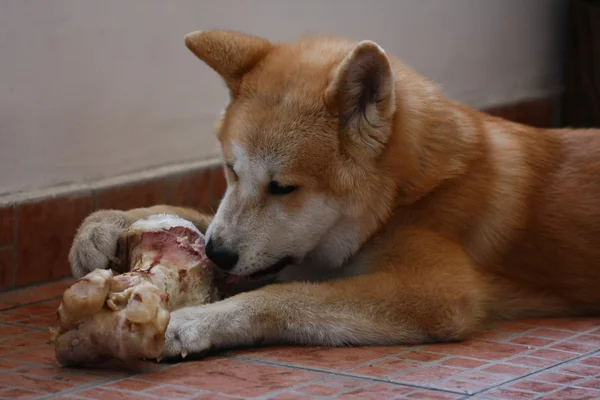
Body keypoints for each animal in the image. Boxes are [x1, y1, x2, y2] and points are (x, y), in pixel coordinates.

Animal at [69, 29, 600, 358]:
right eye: (230, 171)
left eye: (284, 188)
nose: (216, 256)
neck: (407, 195)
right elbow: (191, 213)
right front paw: (105, 224)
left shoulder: (437, 294)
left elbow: (283, 298)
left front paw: (196, 321)